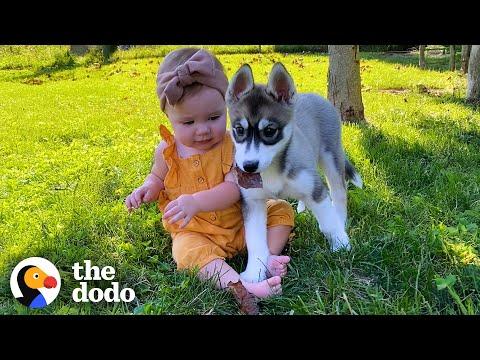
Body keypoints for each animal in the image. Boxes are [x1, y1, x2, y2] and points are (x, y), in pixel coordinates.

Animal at [227, 63, 362, 282]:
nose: (249, 166)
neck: (272, 169)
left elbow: (328, 222)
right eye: (239, 129)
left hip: (332, 157)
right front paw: (254, 271)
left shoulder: (316, 191)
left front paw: (341, 244)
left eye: (270, 131)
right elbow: (255, 239)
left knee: (339, 192)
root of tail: (314, 95)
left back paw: (341, 219)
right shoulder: (253, 202)